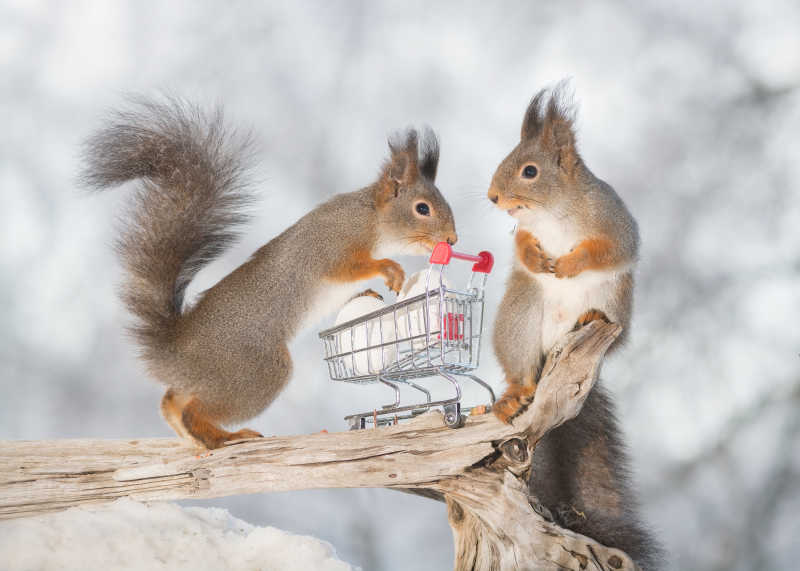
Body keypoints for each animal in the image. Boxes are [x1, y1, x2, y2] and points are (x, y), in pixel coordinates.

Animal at [83, 98, 456, 452]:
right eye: (422, 208)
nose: (453, 240)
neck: (369, 218)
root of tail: (174, 346)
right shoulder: (330, 246)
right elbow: (349, 267)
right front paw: (389, 269)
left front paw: (367, 294)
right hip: (255, 371)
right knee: (193, 410)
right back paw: (223, 438)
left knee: (171, 400)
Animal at [488, 86, 664, 571]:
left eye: (529, 171)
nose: (492, 197)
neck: (554, 211)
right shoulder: (524, 231)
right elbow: (519, 243)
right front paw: (536, 256)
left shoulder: (614, 223)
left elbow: (610, 249)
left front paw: (569, 263)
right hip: (520, 315)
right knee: (522, 371)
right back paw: (515, 393)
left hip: (614, 307)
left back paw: (590, 319)